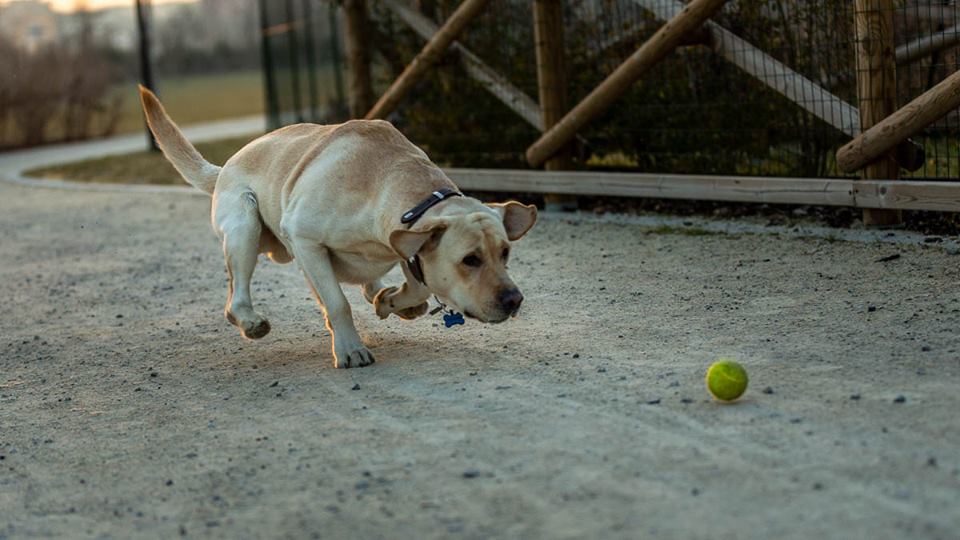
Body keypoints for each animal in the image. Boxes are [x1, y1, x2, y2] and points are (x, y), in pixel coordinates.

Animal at [140, 87, 536, 368]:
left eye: (505, 253)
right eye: (470, 260)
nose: (514, 300)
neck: (387, 183)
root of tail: (225, 166)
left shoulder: (404, 245)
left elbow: (417, 287)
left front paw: (391, 301)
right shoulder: (305, 238)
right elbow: (338, 303)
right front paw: (350, 348)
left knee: (365, 280)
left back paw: (382, 293)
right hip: (245, 225)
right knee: (237, 297)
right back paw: (250, 321)